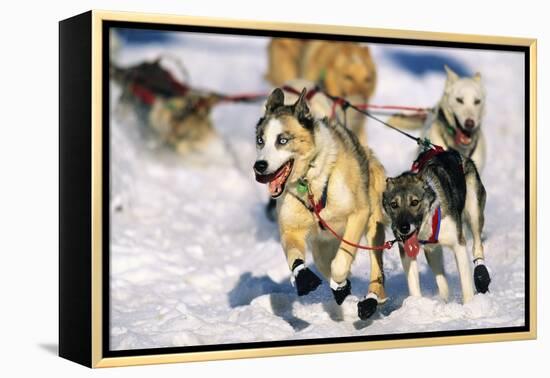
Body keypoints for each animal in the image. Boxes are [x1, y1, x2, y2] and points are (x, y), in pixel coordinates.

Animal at [254, 88, 388, 318]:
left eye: (282, 140)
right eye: (261, 140)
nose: (259, 166)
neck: (310, 183)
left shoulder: (358, 214)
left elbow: (340, 263)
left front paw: (340, 283)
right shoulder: (291, 229)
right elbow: (295, 257)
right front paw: (304, 278)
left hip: (373, 229)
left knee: (375, 268)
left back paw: (371, 300)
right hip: (320, 246)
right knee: (324, 261)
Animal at [384, 148, 492, 304]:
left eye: (414, 202)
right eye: (394, 204)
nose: (403, 228)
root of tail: (451, 151)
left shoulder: (458, 244)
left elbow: (465, 282)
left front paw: (469, 305)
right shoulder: (406, 251)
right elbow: (414, 283)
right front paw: (416, 304)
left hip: (474, 213)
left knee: (477, 245)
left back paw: (481, 274)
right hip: (432, 251)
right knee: (440, 275)